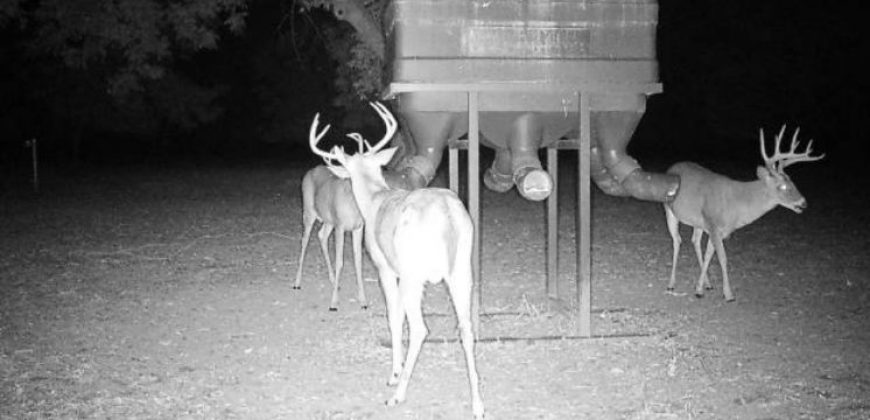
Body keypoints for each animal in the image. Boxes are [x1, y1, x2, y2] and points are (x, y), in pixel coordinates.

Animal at [296, 133, 372, 310]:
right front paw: (334, 303)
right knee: (304, 241)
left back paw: (333, 281)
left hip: (328, 220)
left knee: (321, 235)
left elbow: (358, 261)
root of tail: (311, 171)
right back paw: (297, 282)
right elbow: (340, 261)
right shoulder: (340, 226)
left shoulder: (359, 227)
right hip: (309, 211)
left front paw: (363, 301)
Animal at [310, 102, 488, 420]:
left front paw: (394, 373)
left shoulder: (386, 268)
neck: (375, 199)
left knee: (420, 328)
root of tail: (447, 217)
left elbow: (394, 318)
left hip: (414, 274)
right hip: (461, 270)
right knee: (466, 328)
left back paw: (397, 395)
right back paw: (478, 404)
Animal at [668, 126, 824, 300]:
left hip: (698, 222)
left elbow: (709, 254)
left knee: (694, 241)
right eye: (782, 186)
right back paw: (671, 284)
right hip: (669, 209)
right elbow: (723, 258)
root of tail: (672, 167)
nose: (803, 203)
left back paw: (707, 284)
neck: (736, 205)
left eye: (792, 181)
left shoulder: (716, 228)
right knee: (677, 240)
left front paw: (700, 288)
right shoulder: (713, 224)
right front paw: (728, 294)